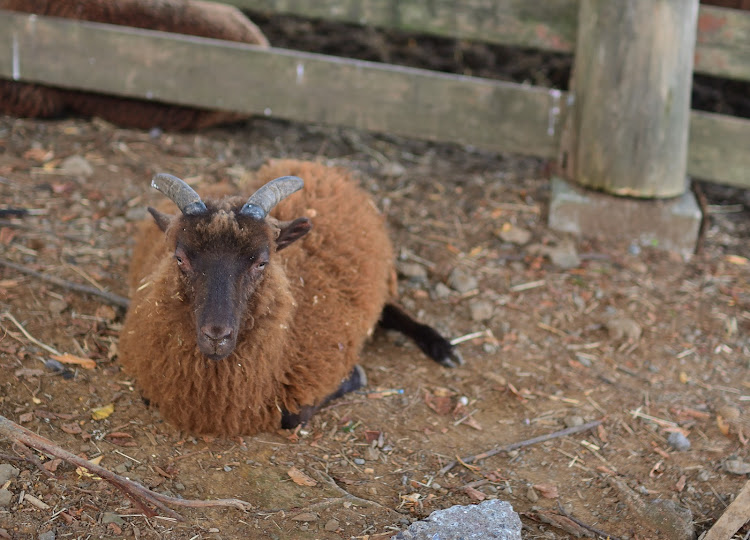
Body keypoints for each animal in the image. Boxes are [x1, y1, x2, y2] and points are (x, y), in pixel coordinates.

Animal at [119, 159, 462, 434]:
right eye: (180, 258)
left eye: (262, 262)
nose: (217, 336)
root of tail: (318, 166)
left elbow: (293, 416)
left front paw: (356, 376)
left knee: (391, 310)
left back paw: (442, 347)